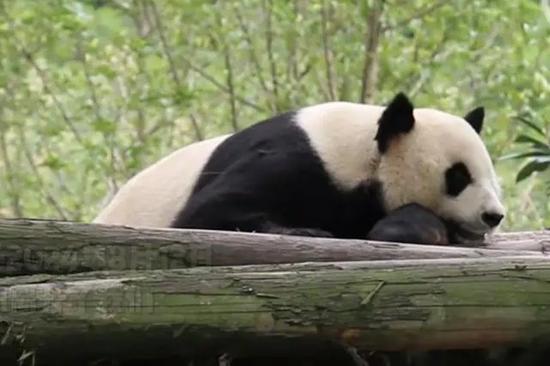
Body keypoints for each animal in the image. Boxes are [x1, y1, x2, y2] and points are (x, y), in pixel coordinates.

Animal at [92, 93, 506, 244]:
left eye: (493, 180)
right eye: (458, 176)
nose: (494, 216)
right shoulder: (296, 160)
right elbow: (206, 214)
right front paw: (306, 229)